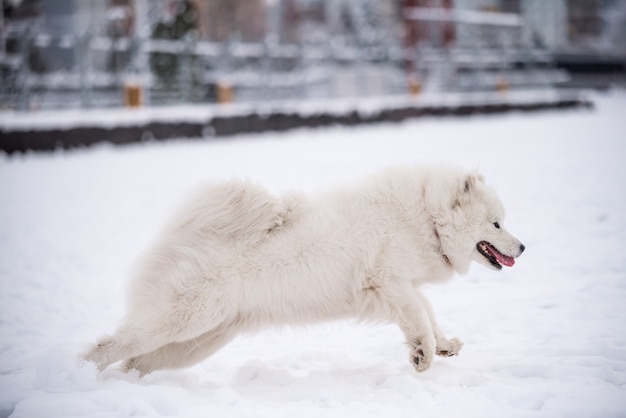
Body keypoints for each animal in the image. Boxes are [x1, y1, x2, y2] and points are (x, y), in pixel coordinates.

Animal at [83, 166, 520, 376]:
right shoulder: (389, 282)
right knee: (108, 347)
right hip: (178, 322)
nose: (523, 247)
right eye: (497, 224)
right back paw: (83, 376)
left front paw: (443, 346)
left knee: (135, 362)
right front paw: (424, 357)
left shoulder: (400, 287)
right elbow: (420, 318)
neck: (425, 216)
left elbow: (428, 314)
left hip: (196, 342)